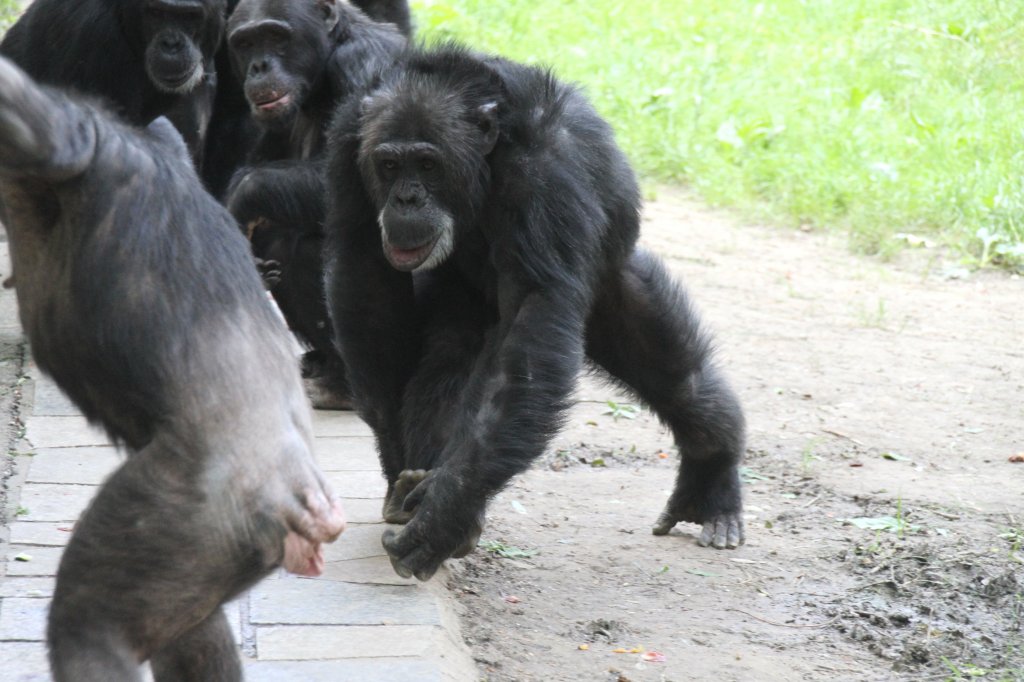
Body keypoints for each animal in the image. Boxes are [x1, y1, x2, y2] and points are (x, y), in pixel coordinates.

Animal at [0, 58, 346, 679]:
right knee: (191, 632)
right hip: (200, 561)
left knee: (89, 622)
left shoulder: (63, 138)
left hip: (179, 521)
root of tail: (306, 504)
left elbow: (32, 124)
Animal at [224, 0, 403, 405]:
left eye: (275, 35)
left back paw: (342, 384)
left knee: (309, 250)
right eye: (245, 43)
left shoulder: (364, 64)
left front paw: (240, 196)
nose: (259, 67)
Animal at [323, 45, 749, 581]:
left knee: (677, 380)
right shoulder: (346, 146)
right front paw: (397, 459)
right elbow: (365, 275)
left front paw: (446, 511)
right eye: (388, 165)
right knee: (452, 355)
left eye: (427, 164)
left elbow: (533, 313)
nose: (406, 198)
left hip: (613, 282)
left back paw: (711, 475)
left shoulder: (548, 177)